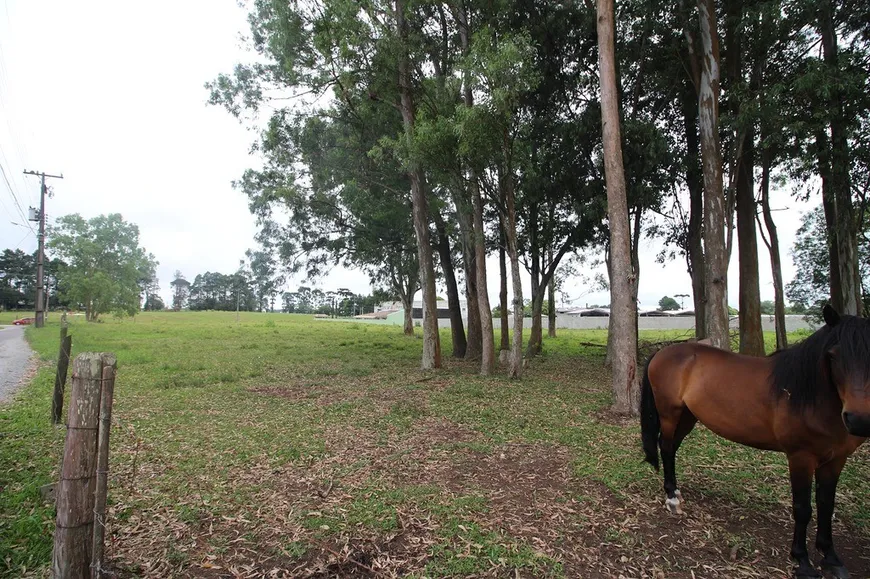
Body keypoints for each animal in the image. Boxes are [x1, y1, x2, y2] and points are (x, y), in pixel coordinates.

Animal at [640, 306, 870, 576]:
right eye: (832, 356)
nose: (859, 420)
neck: (808, 395)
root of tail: (664, 351)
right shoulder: (800, 458)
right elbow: (803, 509)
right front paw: (802, 560)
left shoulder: (835, 460)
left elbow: (826, 505)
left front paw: (831, 557)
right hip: (670, 414)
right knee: (666, 448)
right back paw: (671, 498)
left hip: (687, 417)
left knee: (672, 449)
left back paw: (676, 490)